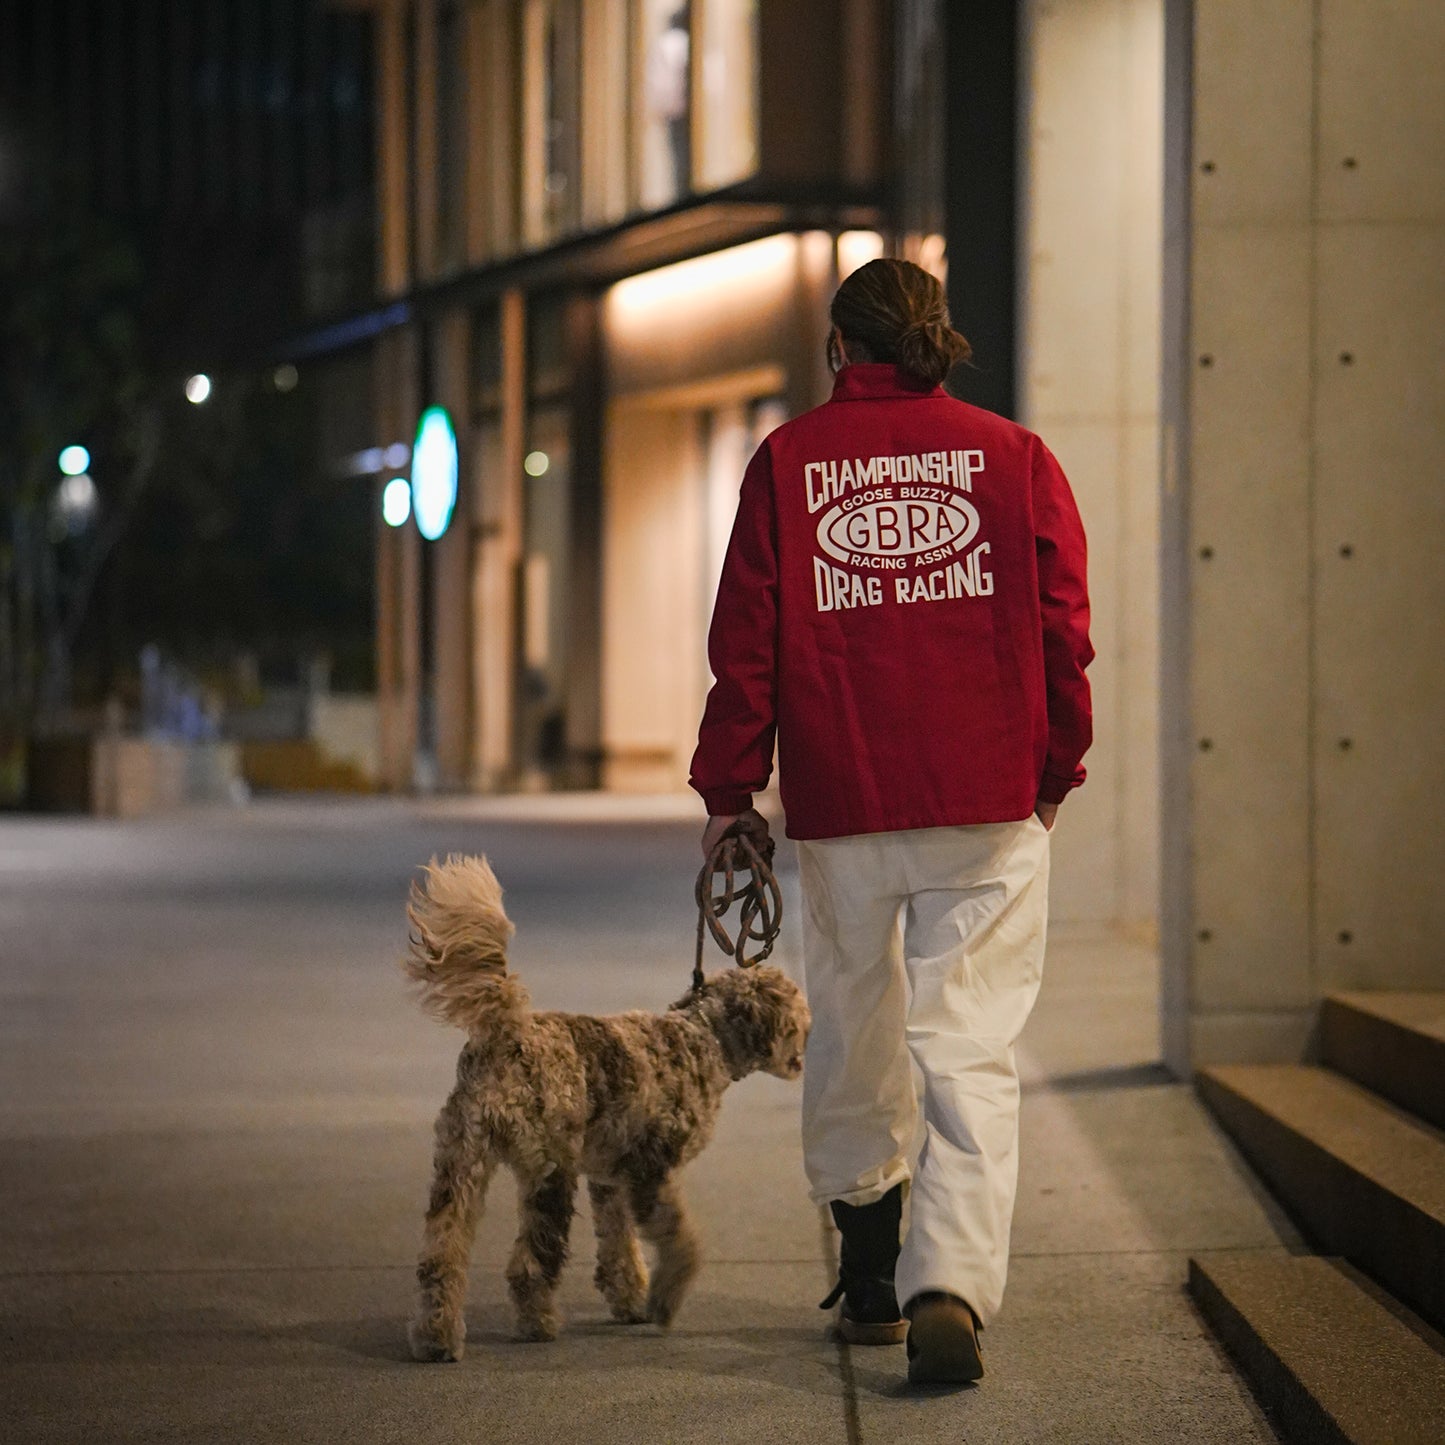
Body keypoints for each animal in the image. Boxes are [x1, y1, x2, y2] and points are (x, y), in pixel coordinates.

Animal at [401, 849, 809, 1358]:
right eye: (797, 1015)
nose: (808, 1044)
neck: (702, 1038)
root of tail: (506, 1033)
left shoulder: (610, 1177)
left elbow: (620, 1245)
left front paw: (631, 1300)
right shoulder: (650, 1171)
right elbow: (682, 1240)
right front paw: (665, 1299)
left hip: (460, 1163)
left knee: (440, 1258)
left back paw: (436, 1337)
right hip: (549, 1171)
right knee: (530, 1264)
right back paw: (538, 1324)